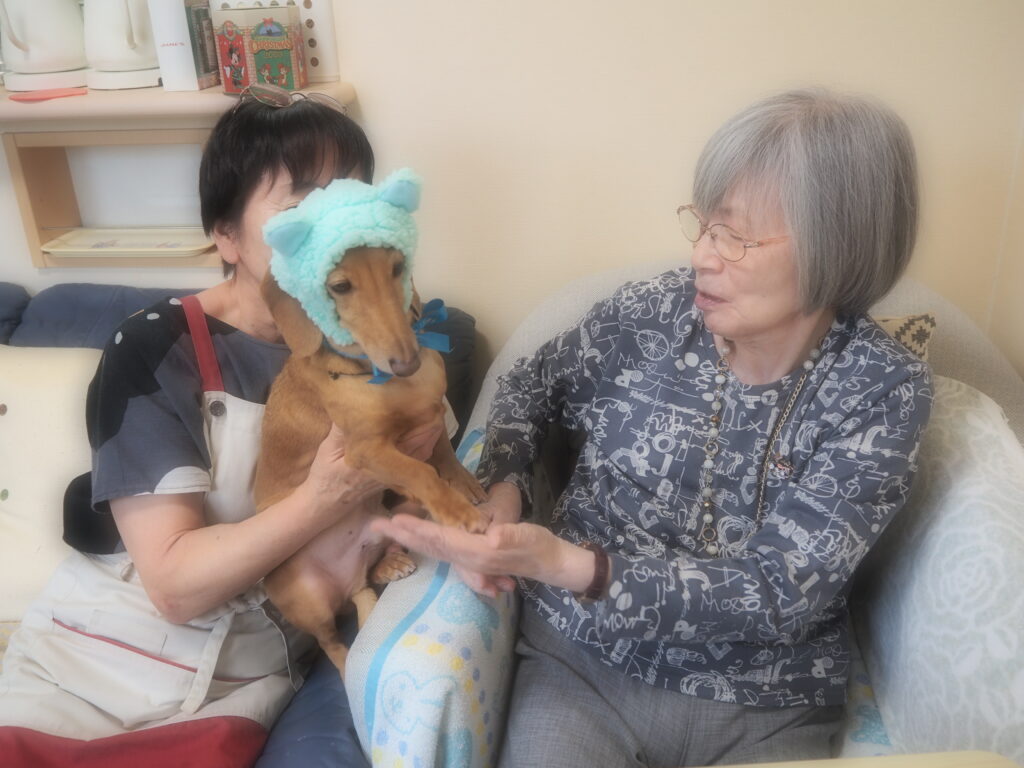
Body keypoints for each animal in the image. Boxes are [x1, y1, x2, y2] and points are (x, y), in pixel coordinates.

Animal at [253, 172, 487, 676]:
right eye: (339, 286)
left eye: (397, 267)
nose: (407, 362)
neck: (384, 381)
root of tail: (347, 580)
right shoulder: (365, 451)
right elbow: (421, 470)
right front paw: (458, 512)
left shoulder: (433, 414)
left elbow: (442, 454)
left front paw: (464, 484)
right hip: (307, 599)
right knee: (330, 642)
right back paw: (345, 667)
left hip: (394, 518)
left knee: (369, 578)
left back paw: (389, 565)